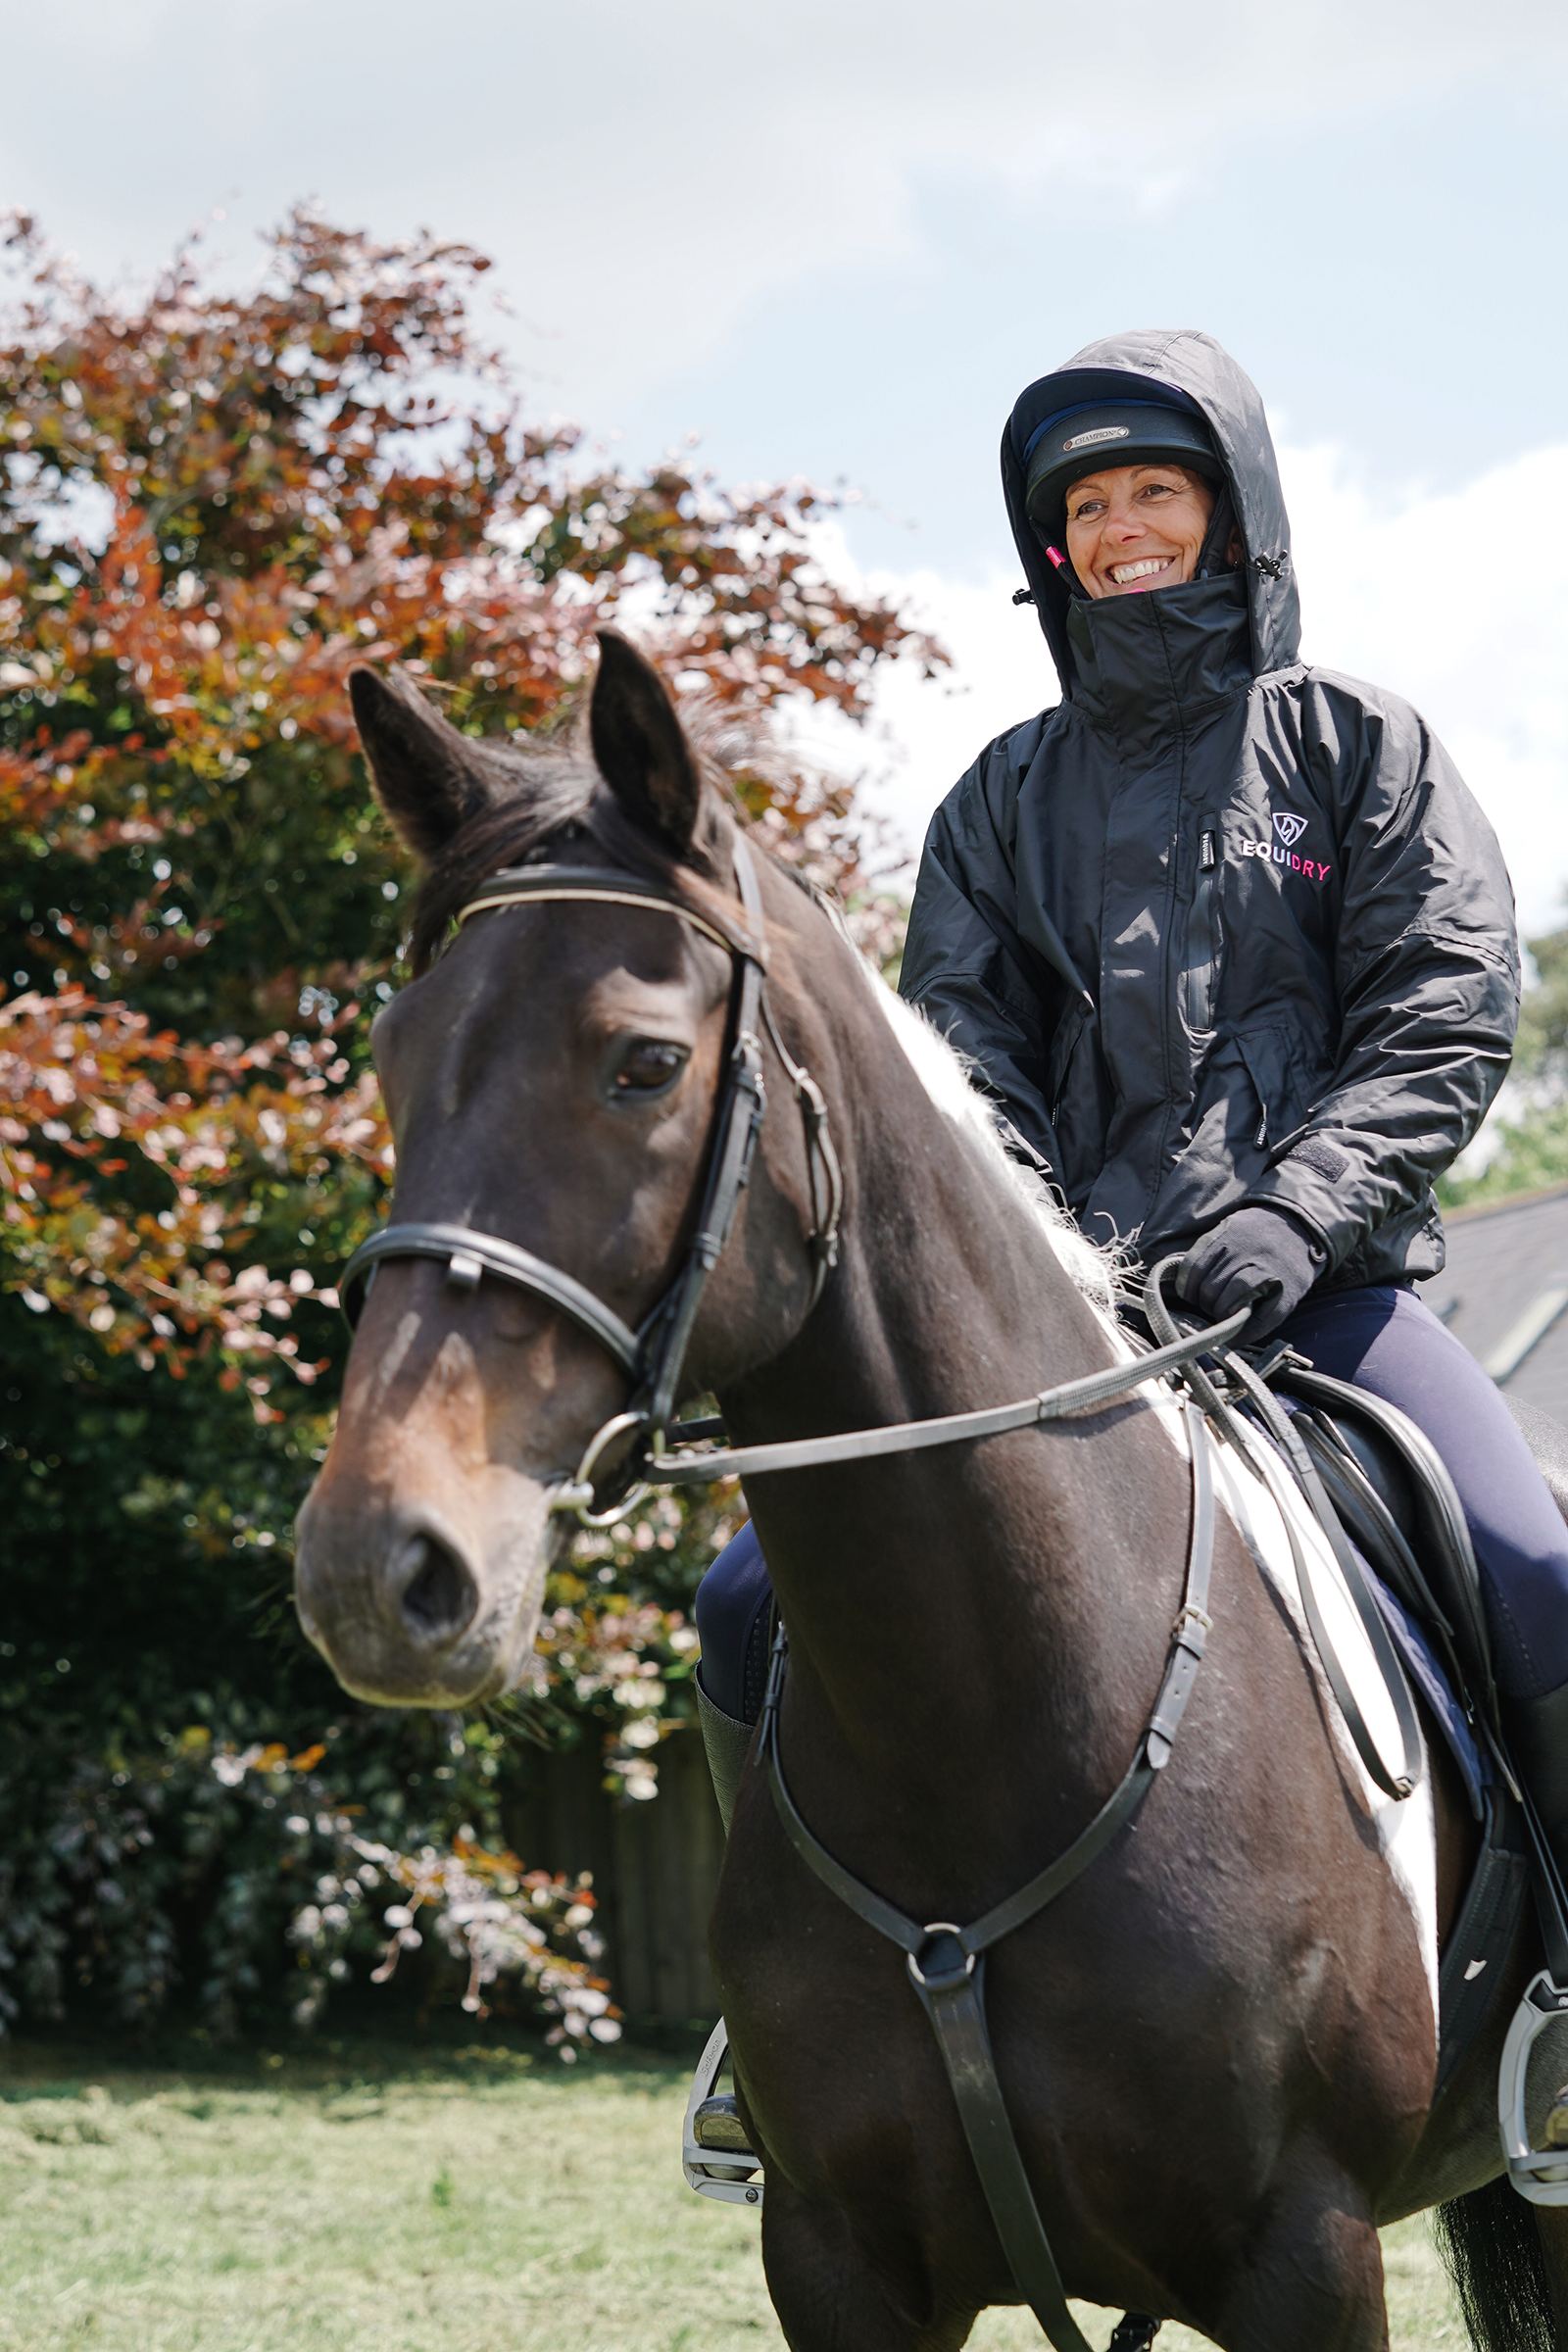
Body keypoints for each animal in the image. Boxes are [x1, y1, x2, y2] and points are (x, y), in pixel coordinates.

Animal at [293, 635, 1568, 2342]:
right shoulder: (840, 2264)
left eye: (643, 1064)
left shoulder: (1306, 2259)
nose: (376, 1563)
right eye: (392, 1058)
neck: (1001, 1721)